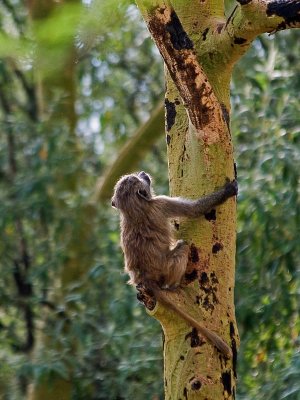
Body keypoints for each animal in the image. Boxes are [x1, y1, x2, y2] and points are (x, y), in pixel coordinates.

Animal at [111, 170, 238, 358]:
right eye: (138, 178)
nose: (143, 173)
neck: (134, 210)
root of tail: (146, 278)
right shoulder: (162, 203)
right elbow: (194, 210)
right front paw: (229, 190)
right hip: (168, 268)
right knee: (183, 247)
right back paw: (173, 286)